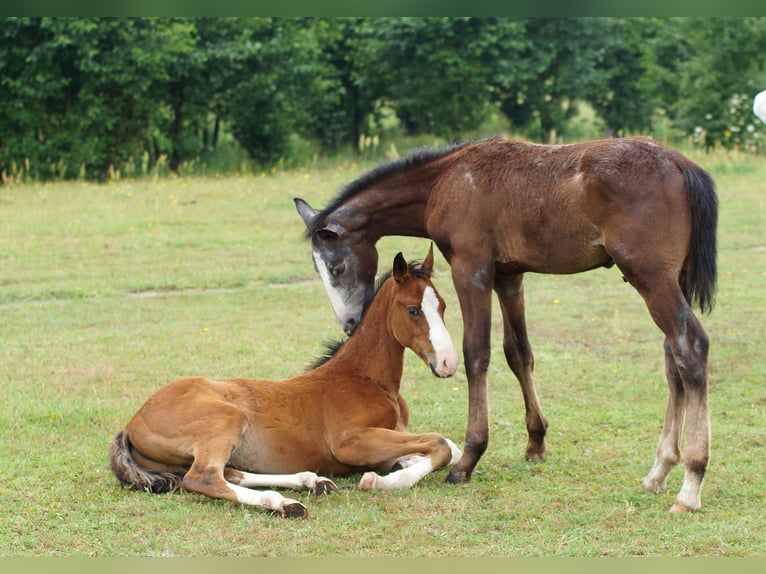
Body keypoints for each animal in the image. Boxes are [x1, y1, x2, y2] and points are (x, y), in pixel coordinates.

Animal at [109, 250, 462, 520]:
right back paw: (284, 503)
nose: (448, 363)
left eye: (443, 306)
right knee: (203, 477)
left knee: (228, 472)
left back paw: (312, 482)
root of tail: (132, 423)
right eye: (413, 309)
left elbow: (449, 448)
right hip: (227, 419)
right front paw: (383, 481)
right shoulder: (350, 442)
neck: (368, 380)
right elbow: (440, 444)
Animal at [294, 135, 720, 512]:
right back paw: (659, 471)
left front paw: (468, 459)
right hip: (671, 279)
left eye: (337, 266)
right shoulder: (509, 276)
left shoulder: (472, 270)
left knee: (690, 345)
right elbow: (518, 352)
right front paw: (536, 442)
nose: (350, 322)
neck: (445, 180)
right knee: (672, 357)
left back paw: (690, 485)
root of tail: (682, 165)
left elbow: (476, 354)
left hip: (650, 277)